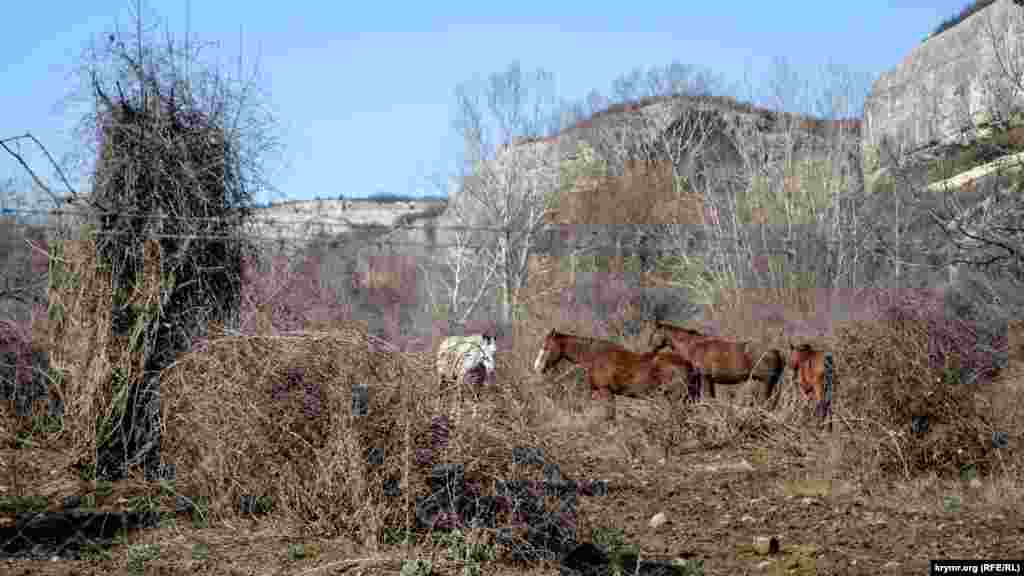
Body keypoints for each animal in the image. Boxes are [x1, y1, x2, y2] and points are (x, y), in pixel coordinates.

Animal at [532, 330, 700, 420]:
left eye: (546, 348)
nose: (537, 368)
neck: (595, 356)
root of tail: (688, 363)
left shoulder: (606, 392)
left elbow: (609, 417)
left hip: (676, 398)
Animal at [647, 319, 782, 405]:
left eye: (653, 334)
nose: (650, 350)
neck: (693, 346)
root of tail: (776, 351)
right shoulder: (709, 380)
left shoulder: (705, 378)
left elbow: (707, 398)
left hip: (766, 382)